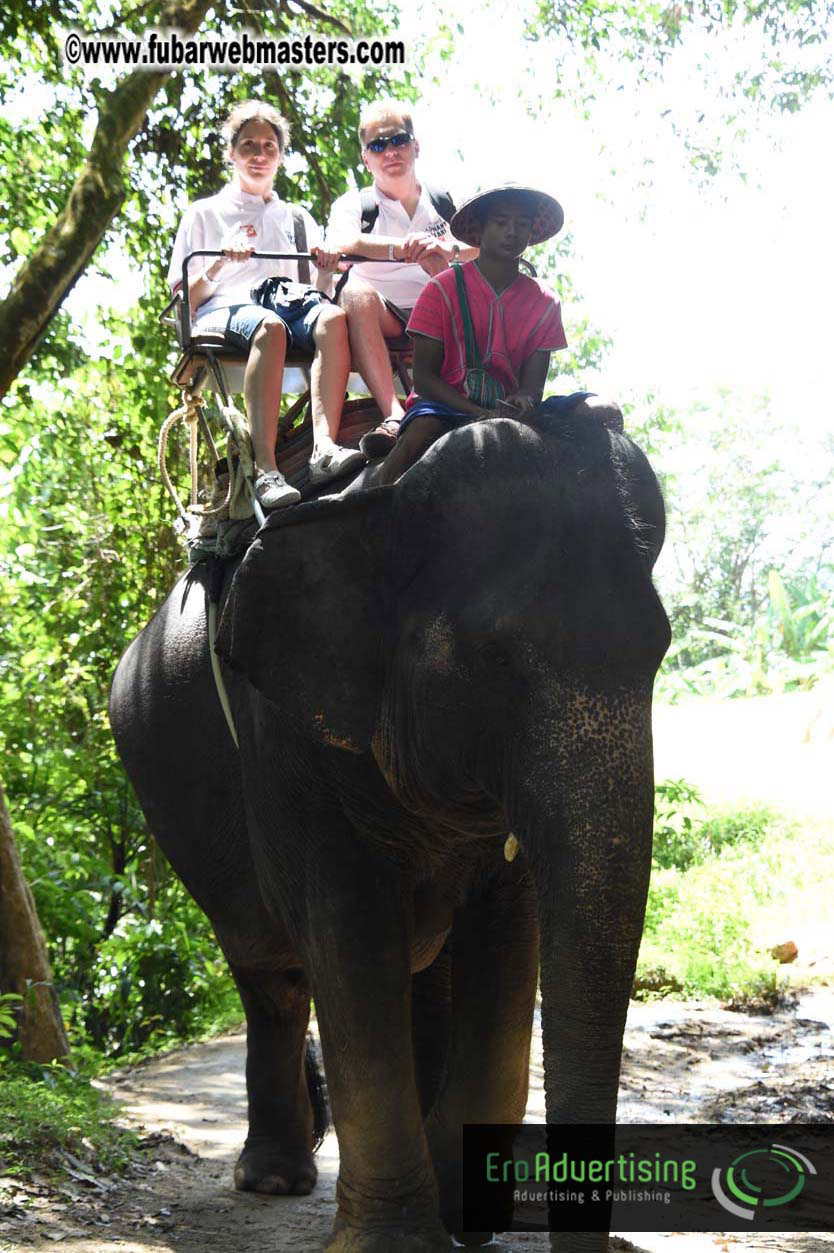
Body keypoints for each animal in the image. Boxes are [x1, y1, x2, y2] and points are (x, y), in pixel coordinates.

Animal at [109, 409, 670, 1253]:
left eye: (660, 650)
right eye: (491, 662)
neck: (383, 503)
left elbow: (510, 935)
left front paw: (465, 1216)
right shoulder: (285, 733)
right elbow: (349, 932)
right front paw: (401, 1241)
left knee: (418, 971)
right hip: (175, 803)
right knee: (273, 973)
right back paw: (274, 1178)